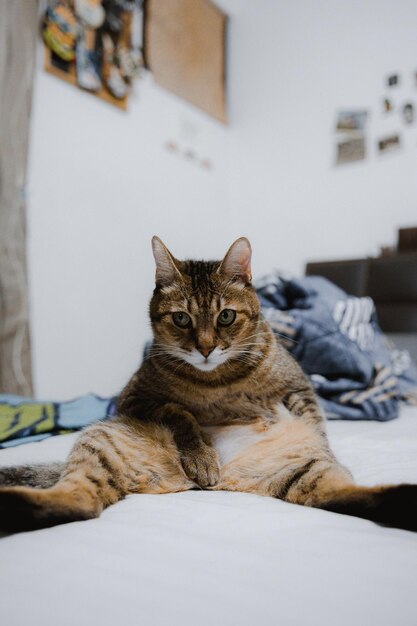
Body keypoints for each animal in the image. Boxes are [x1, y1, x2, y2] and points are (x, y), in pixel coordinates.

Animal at [0, 235, 416, 532]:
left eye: (226, 316)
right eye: (181, 319)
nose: (204, 347)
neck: (218, 380)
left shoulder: (298, 388)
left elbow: (316, 423)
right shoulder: (133, 399)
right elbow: (179, 412)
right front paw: (201, 455)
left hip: (305, 469)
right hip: (101, 440)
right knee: (79, 502)